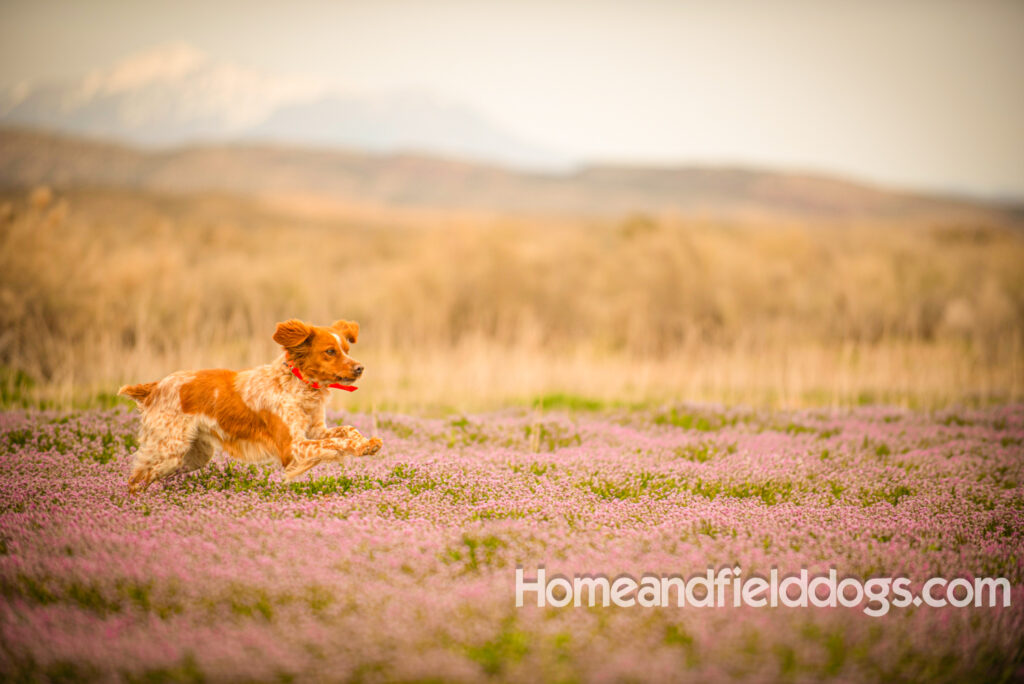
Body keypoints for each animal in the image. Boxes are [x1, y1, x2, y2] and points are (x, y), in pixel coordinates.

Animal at [117, 319, 380, 491]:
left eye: (347, 349)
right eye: (330, 351)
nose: (360, 368)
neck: (298, 383)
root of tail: (155, 386)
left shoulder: (314, 430)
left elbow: (347, 430)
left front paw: (366, 443)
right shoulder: (291, 447)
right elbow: (335, 442)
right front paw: (358, 447)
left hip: (192, 456)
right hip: (169, 449)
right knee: (135, 480)